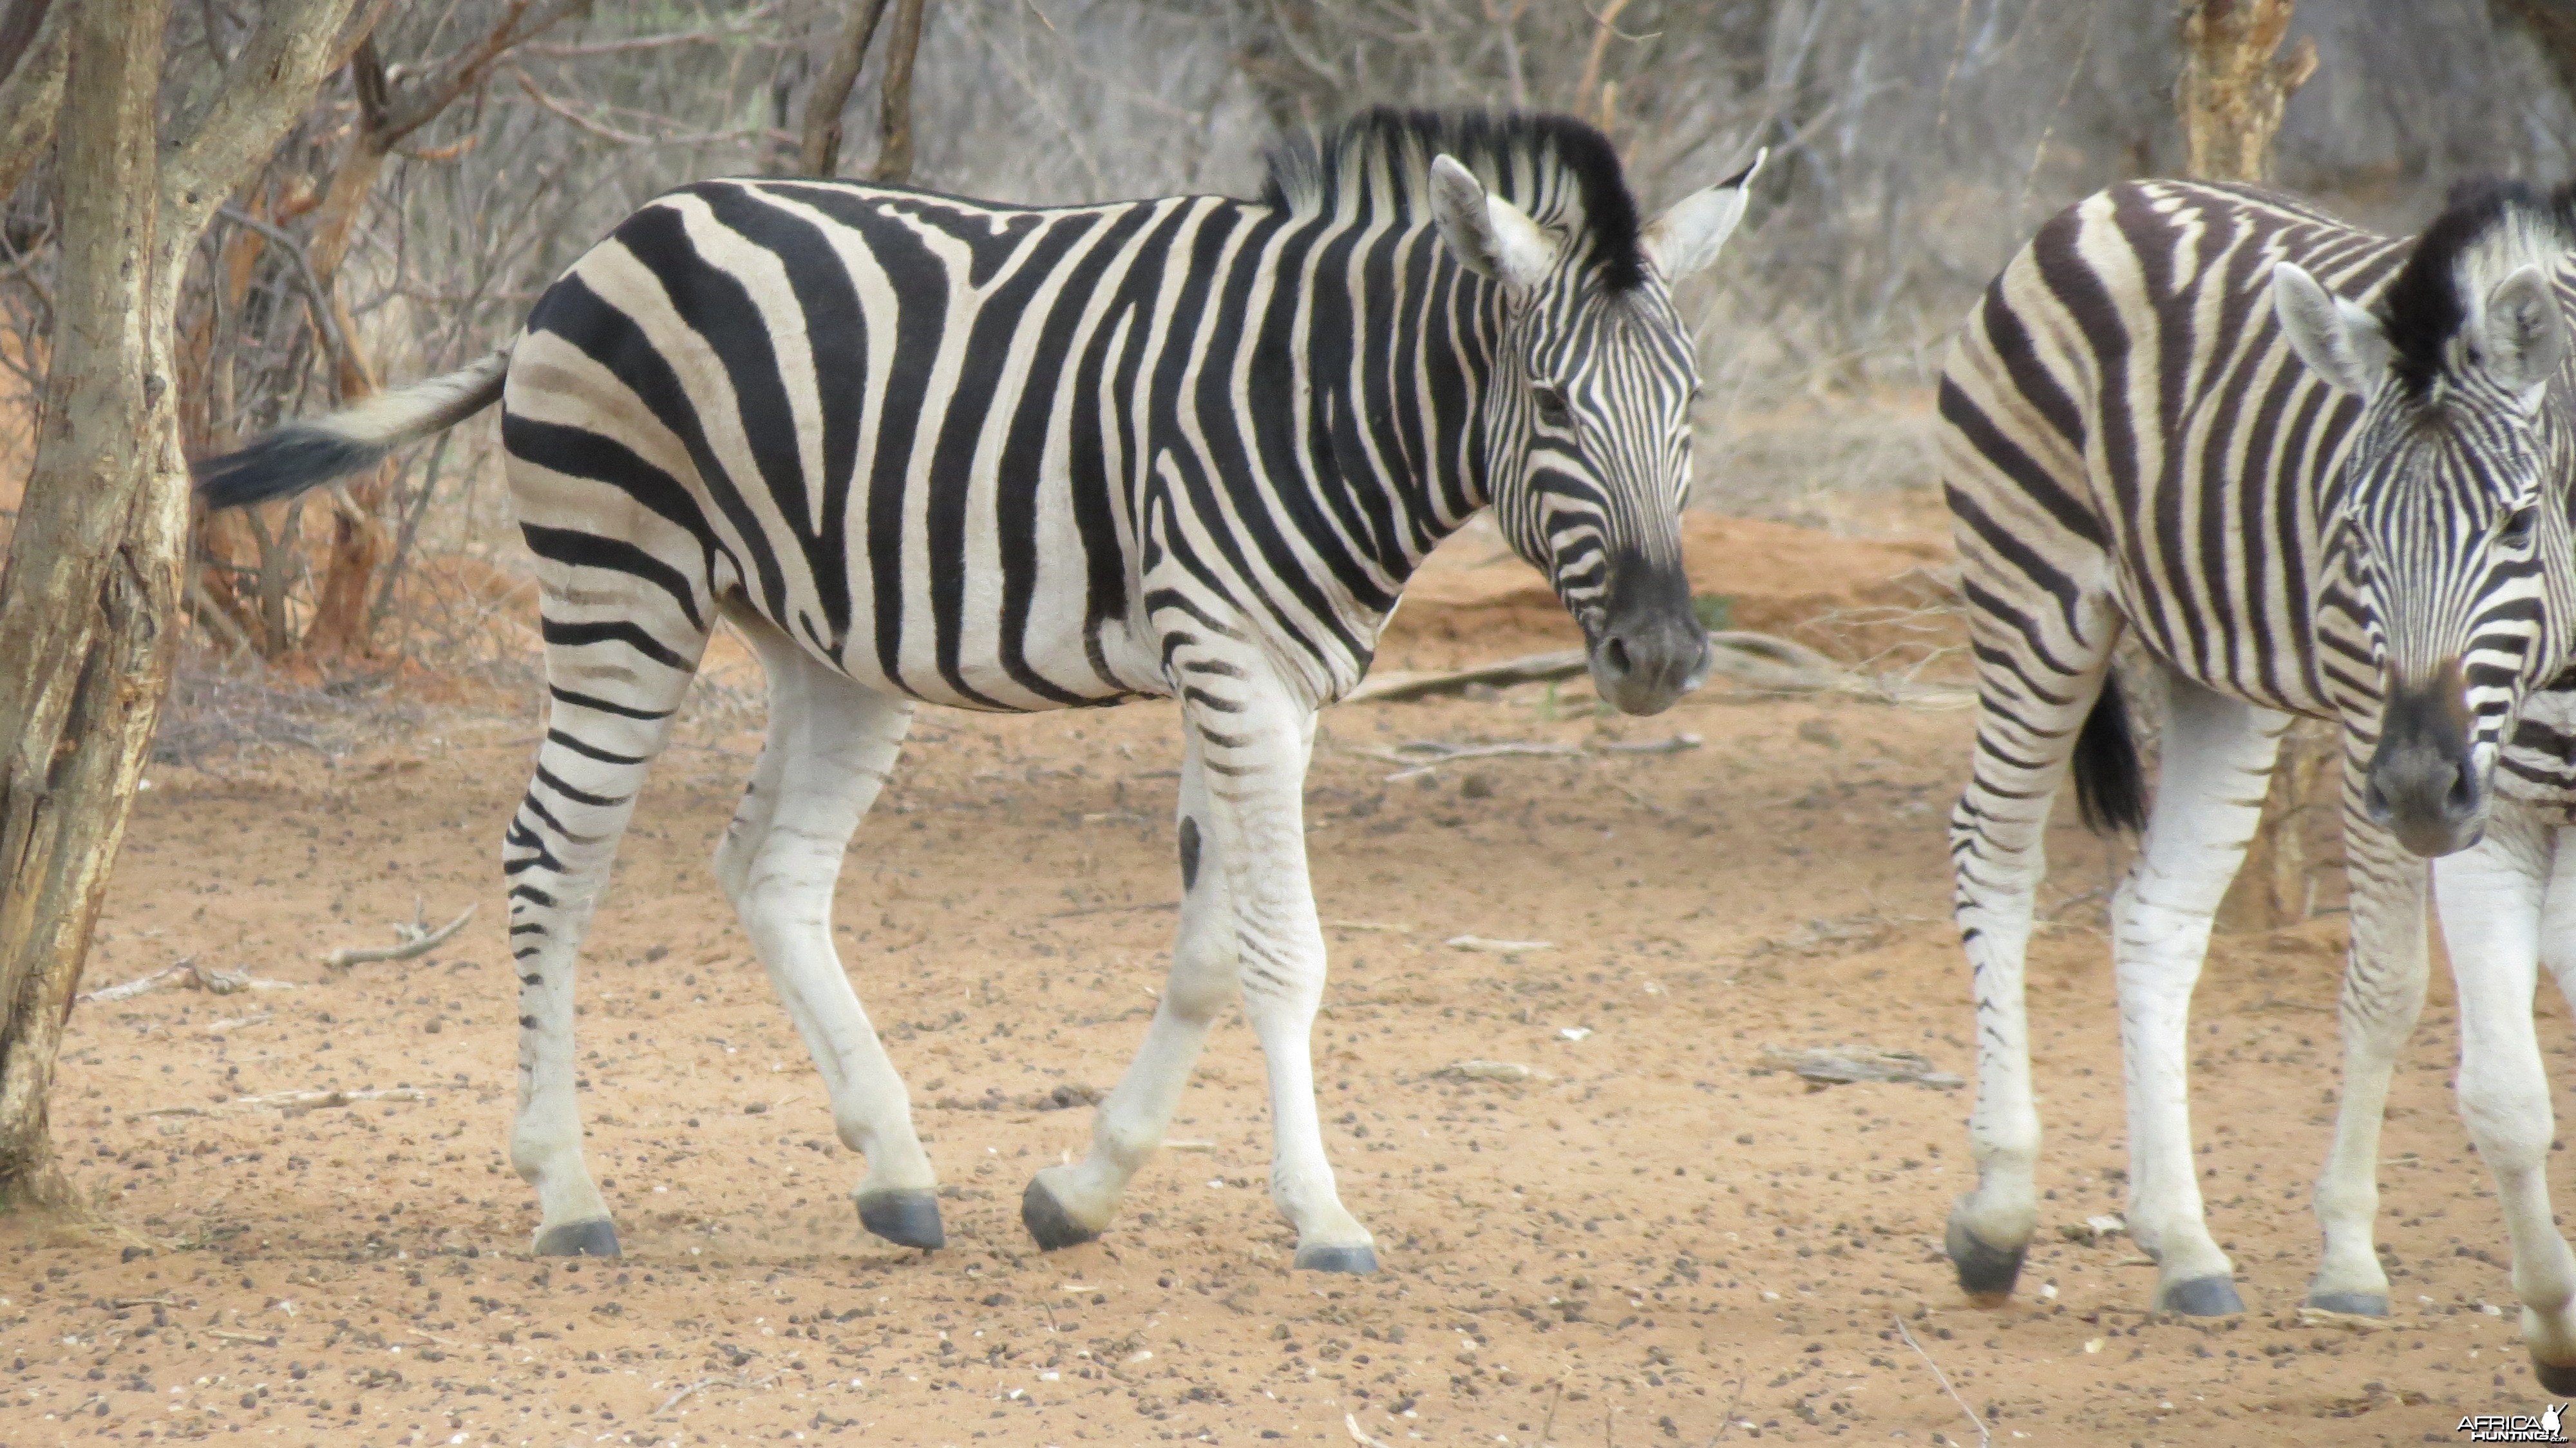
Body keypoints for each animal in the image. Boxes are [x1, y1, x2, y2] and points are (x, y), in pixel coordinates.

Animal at [196, 110, 1772, 1262]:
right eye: (1553, 405)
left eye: (1691, 409)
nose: (1658, 653)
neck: (1324, 399)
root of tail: (596, 249)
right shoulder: (1230, 659)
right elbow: (1286, 951)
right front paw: (1321, 1214)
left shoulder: (1279, 678)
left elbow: (1212, 948)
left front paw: (1081, 1189)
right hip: (622, 583)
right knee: (551, 860)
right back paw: (569, 1191)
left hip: (829, 643)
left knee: (769, 868)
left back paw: (893, 1171)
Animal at [1937, 175, 2576, 1350]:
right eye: (2351, 529)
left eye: (2518, 523)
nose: (2425, 781)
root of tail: (2109, 200)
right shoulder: (2404, 750)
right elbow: (2391, 987)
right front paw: (2350, 1263)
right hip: (2031, 594)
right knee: (1993, 859)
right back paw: (2000, 1210)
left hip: (2220, 685)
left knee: (2155, 915)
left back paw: (2183, 1244)